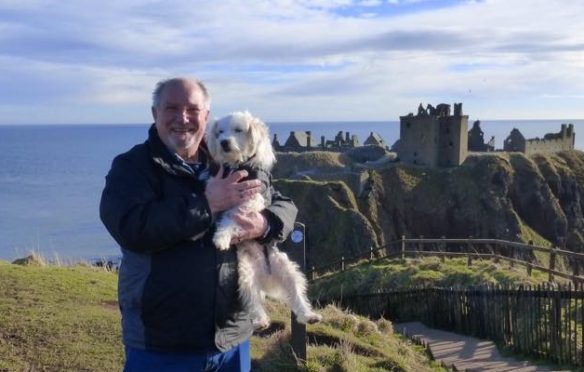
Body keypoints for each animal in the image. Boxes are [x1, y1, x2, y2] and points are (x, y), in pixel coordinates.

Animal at [206, 110, 324, 328]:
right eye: (219, 132)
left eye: (238, 130)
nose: (224, 142)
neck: (238, 166)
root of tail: (265, 275)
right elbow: (222, 212)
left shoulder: (249, 202)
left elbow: (231, 218)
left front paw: (221, 237)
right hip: (245, 275)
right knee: (252, 299)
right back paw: (261, 320)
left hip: (288, 270)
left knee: (296, 296)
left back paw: (308, 315)